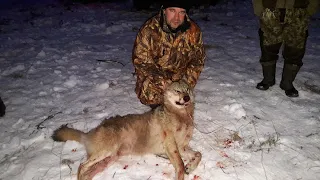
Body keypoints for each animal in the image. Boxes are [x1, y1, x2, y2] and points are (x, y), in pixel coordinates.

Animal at [52, 80, 202, 180]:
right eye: (177, 91)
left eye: (187, 90)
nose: (187, 97)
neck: (181, 116)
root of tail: (90, 133)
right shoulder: (172, 145)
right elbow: (180, 164)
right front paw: (184, 169)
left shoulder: (182, 147)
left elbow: (198, 154)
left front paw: (190, 167)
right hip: (104, 152)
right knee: (81, 166)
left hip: (107, 160)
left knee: (87, 172)